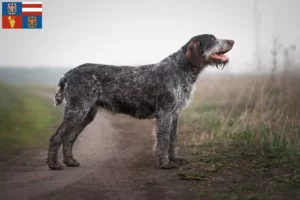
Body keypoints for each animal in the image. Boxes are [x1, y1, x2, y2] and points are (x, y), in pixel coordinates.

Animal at [47, 33, 234, 170]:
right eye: (212, 38)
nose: (232, 40)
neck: (182, 68)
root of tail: (69, 73)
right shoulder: (165, 114)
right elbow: (163, 141)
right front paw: (165, 163)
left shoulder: (175, 114)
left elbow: (173, 140)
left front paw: (175, 159)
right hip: (77, 110)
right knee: (56, 137)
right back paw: (54, 164)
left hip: (86, 114)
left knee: (68, 138)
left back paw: (70, 162)